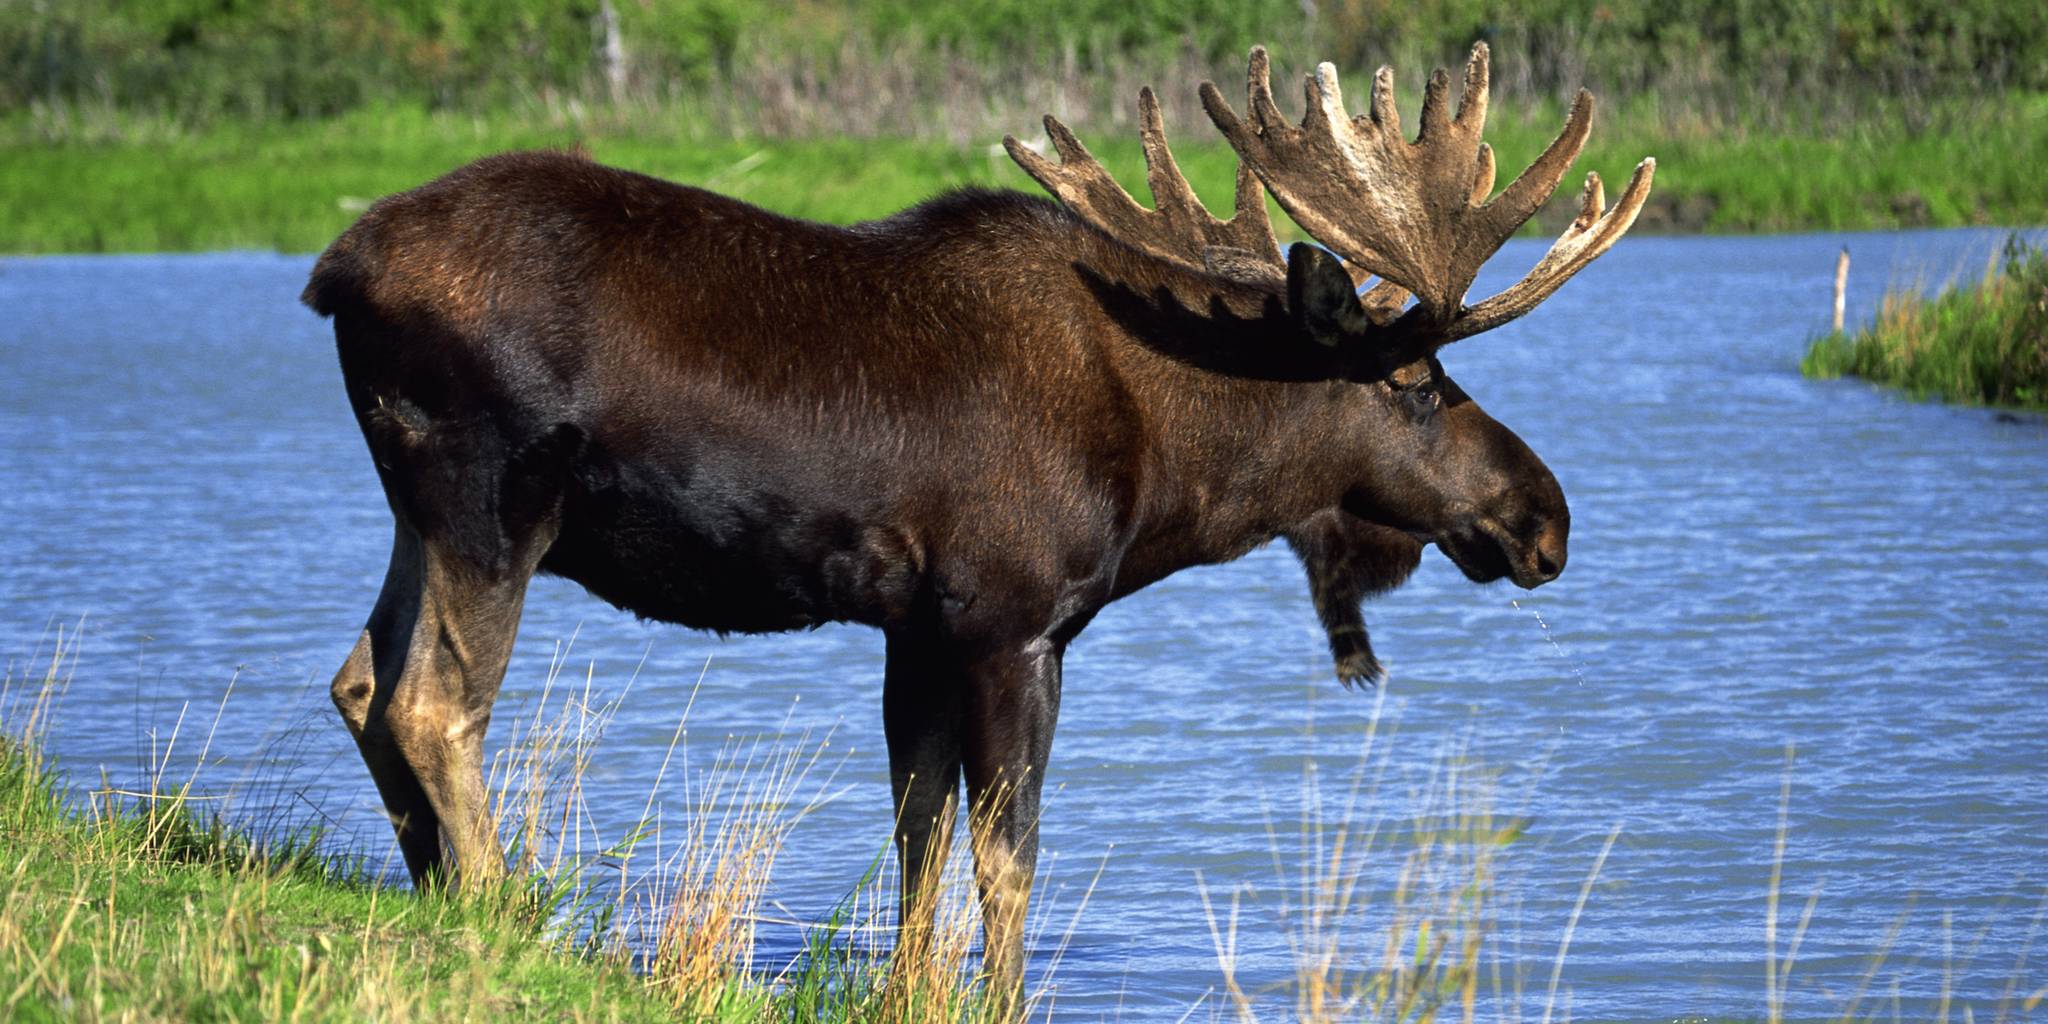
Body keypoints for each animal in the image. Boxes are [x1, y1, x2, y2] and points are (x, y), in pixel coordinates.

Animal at [299, 44, 1646, 1003]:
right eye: (1415, 384)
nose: (1544, 519)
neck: (1173, 463)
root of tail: (332, 269)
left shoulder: (918, 627)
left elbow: (918, 833)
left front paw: (910, 992)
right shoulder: (1012, 620)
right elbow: (1007, 851)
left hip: (415, 507)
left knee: (360, 678)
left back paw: (437, 902)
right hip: (491, 497)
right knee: (433, 700)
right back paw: (495, 921)